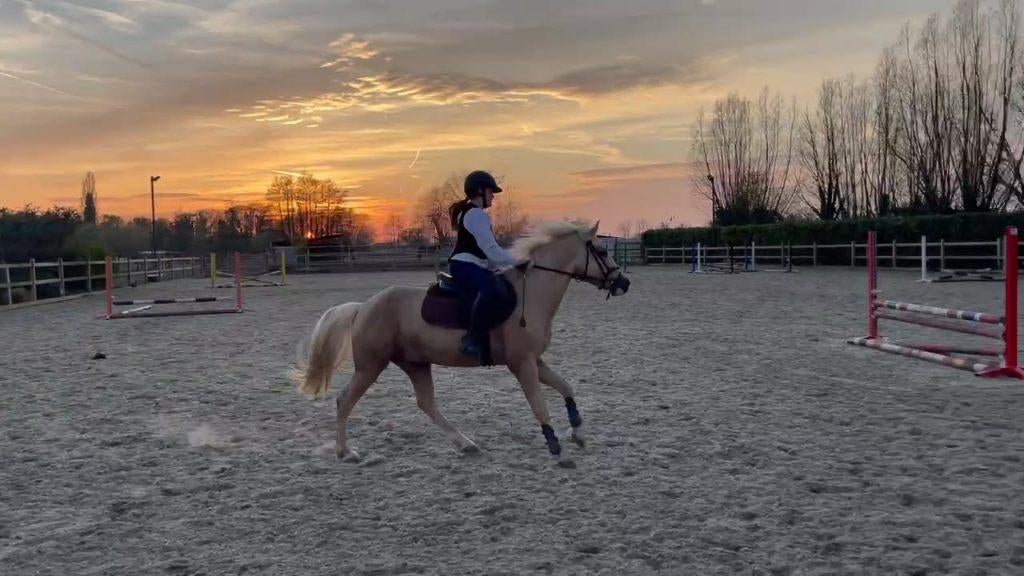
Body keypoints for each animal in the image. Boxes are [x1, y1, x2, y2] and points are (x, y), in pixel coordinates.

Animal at [291, 221, 630, 463]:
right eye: (602, 251)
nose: (624, 282)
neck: (531, 293)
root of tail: (363, 307)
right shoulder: (522, 364)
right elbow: (538, 403)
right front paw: (554, 444)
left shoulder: (535, 360)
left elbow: (566, 387)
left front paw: (578, 432)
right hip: (370, 366)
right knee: (344, 400)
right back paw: (344, 452)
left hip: (415, 364)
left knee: (426, 404)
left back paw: (465, 444)